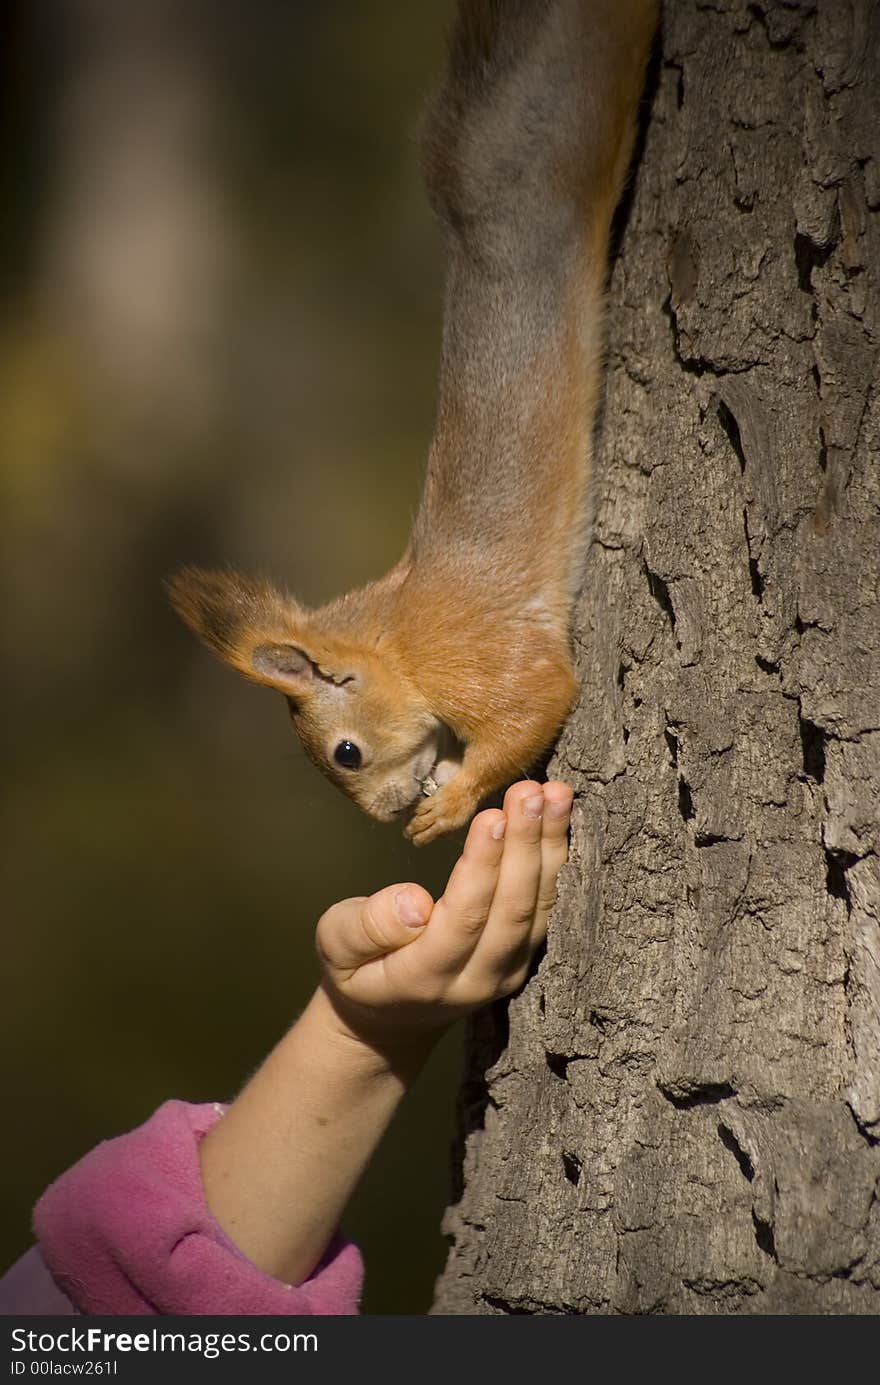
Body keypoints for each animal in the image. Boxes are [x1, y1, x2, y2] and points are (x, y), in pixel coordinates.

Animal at [168, 0, 656, 842]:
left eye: (348, 753)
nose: (387, 816)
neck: (395, 635)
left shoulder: (474, 658)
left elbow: (540, 699)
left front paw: (451, 804)